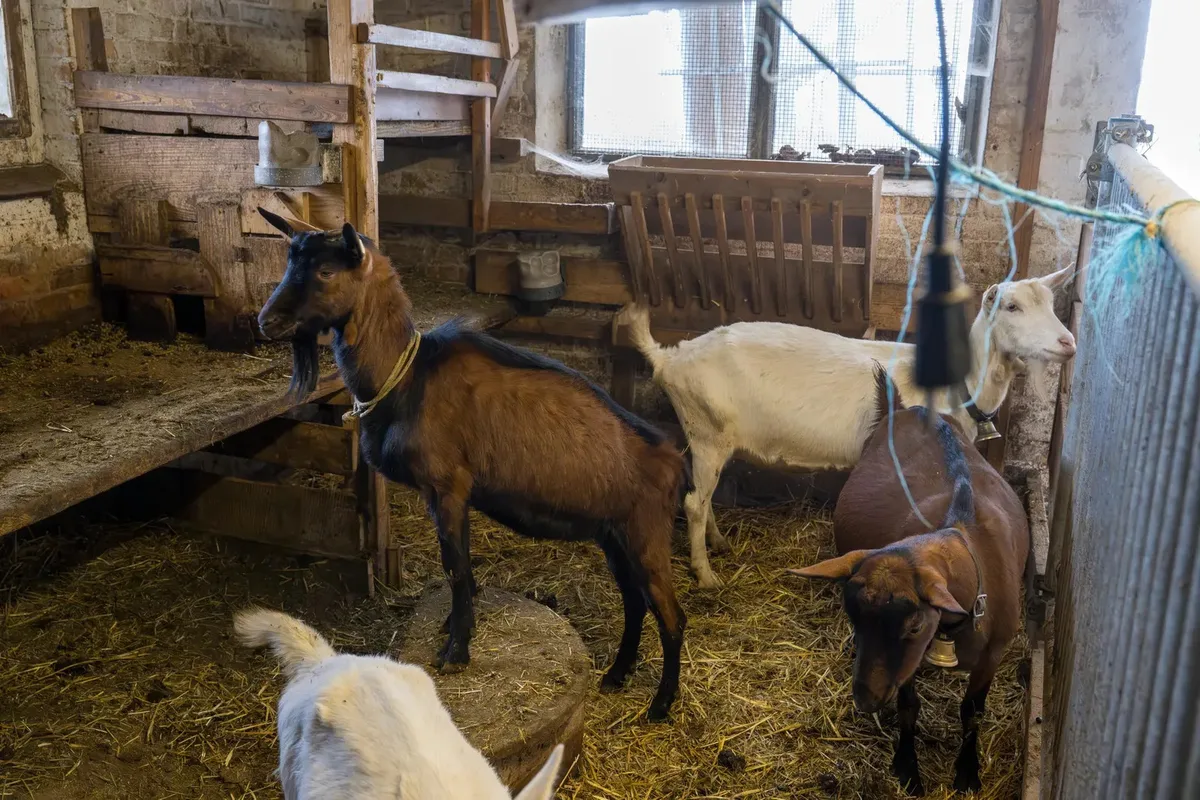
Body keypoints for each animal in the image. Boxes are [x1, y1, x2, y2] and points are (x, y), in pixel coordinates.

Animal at [255, 209, 687, 720]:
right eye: (289, 262)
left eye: (325, 271)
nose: (267, 320)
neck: (408, 379)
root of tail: (673, 462)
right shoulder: (444, 492)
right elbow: (458, 561)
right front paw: (454, 627)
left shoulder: (448, 485)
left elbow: (456, 567)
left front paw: (456, 651)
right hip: (613, 535)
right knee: (635, 603)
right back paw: (617, 675)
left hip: (646, 535)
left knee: (671, 614)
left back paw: (661, 704)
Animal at [617, 268, 1074, 588]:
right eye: (1011, 307)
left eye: (1052, 304)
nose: (1068, 343)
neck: (961, 384)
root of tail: (670, 356)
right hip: (707, 431)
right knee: (694, 503)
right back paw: (706, 575)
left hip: (706, 437)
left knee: (701, 496)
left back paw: (718, 543)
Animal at [788, 371, 1029, 795]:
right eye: (853, 618)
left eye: (915, 625)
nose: (866, 700)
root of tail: (909, 408)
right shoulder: (908, 665)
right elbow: (908, 706)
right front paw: (907, 768)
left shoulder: (993, 652)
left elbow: (973, 711)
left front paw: (967, 772)